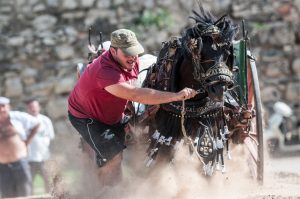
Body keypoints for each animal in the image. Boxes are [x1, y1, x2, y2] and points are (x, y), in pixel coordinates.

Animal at [141, 5, 239, 176]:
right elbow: (168, 155)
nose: (219, 89)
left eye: (227, 53)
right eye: (202, 52)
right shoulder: (168, 127)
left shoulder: (208, 124)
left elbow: (207, 154)